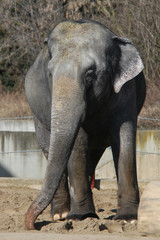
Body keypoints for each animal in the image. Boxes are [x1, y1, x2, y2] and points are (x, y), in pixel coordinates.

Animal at [24, 18, 146, 229]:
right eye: (50, 74)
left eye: (90, 74)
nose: (32, 225)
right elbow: (78, 140)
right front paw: (80, 217)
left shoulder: (126, 89)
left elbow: (124, 135)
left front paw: (128, 218)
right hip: (37, 117)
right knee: (49, 150)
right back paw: (61, 215)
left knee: (92, 156)